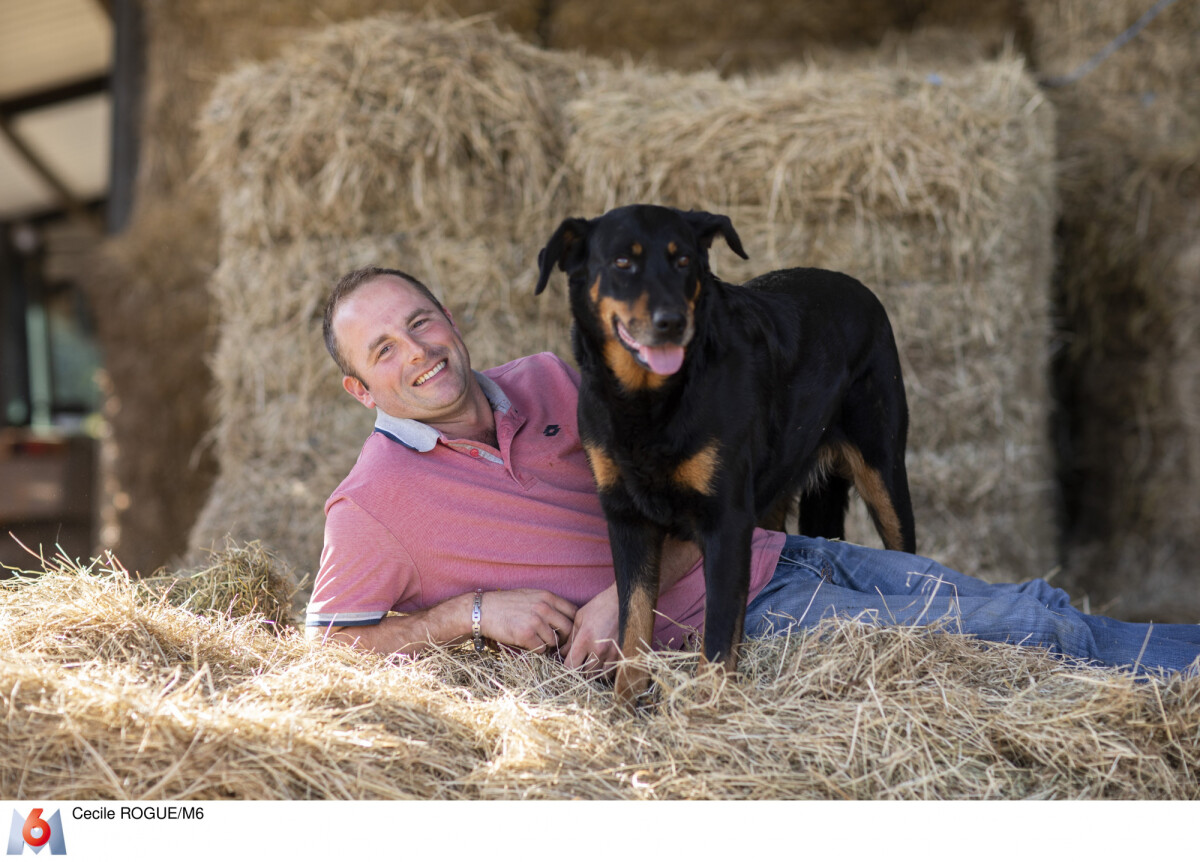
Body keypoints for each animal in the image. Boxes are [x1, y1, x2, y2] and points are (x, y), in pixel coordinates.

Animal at [535, 206, 916, 705]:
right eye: (622, 263)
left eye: (683, 261)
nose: (672, 321)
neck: (650, 402)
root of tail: (858, 286)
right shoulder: (626, 516)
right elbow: (632, 622)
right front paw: (625, 705)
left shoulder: (726, 520)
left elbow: (717, 633)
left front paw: (706, 708)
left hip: (882, 468)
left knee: (905, 550)